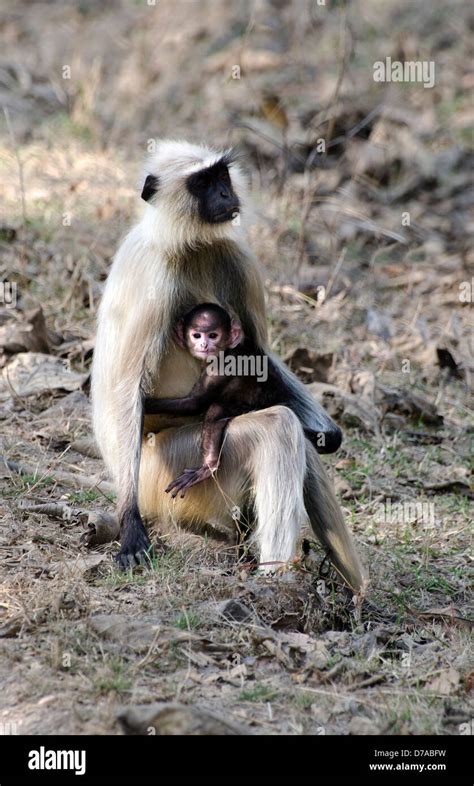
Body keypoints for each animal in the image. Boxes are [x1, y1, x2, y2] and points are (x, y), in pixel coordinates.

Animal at [145, 304, 292, 496]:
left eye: (213, 335)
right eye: (197, 335)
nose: (204, 344)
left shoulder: (218, 369)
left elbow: (194, 403)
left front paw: (145, 403)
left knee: (215, 410)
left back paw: (209, 466)